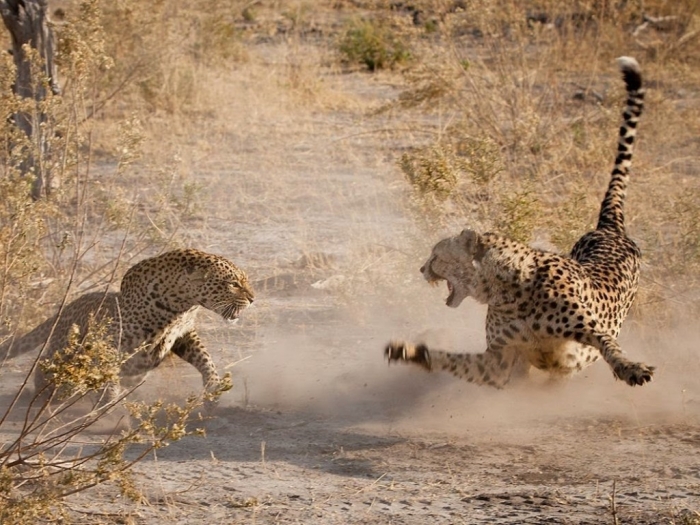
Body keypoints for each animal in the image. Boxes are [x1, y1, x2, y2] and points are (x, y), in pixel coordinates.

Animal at [0, 248, 254, 406]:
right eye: (233, 284)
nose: (253, 298)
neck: (181, 304)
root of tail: (67, 307)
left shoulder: (183, 333)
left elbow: (205, 359)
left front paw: (213, 390)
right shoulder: (111, 339)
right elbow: (108, 370)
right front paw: (110, 402)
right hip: (62, 352)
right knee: (47, 370)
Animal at [385, 57, 654, 388]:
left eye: (436, 255)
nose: (422, 269)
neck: (507, 290)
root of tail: (608, 228)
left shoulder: (587, 330)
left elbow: (608, 344)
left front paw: (631, 368)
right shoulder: (499, 363)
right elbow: (452, 359)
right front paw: (408, 352)